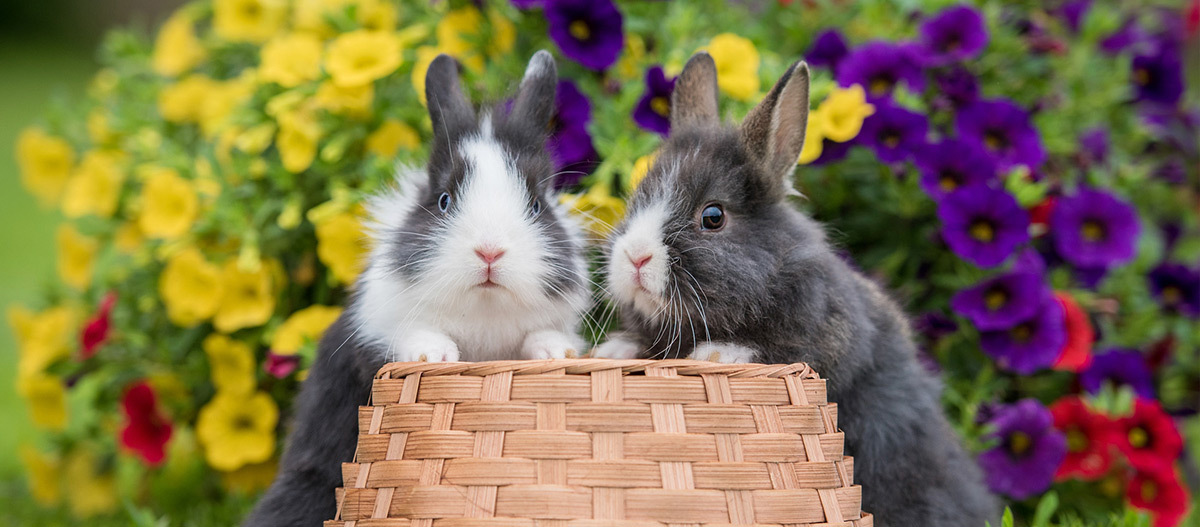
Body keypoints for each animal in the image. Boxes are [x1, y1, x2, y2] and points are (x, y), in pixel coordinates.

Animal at [243, 50, 591, 527]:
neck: (482, 312)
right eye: (444, 201)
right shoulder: (375, 335)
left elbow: (542, 337)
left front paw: (556, 352)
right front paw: (437, 355)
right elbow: (413, 337)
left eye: (537, 205)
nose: (490, 252)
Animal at [592, 52, 999, 527]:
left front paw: (716, 354)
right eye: (635, 199)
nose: (634, 257)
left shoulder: (827, 348)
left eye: (713, 217)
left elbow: (775, 349)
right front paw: (613, 350)